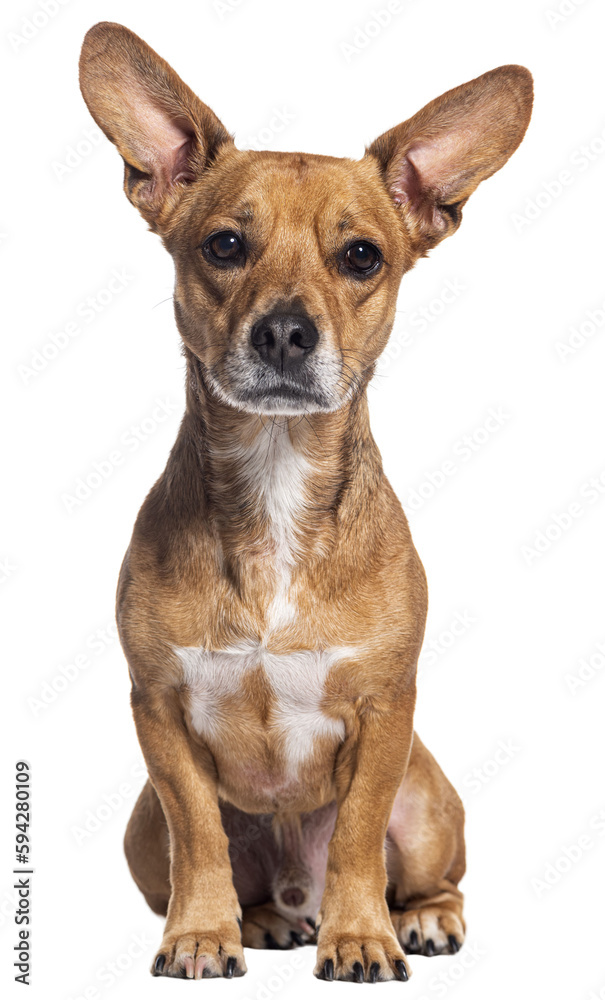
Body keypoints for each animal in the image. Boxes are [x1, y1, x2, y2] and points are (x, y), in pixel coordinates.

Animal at [78, 23, 532, 984]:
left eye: (361, 256)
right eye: (223, 246)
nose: (284, 330)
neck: (277, 480)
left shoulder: (385, 714)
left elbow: (358, 836)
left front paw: (359, 937)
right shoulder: (158, 714)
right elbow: (200, 835)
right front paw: (201, 932)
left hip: (428, 801)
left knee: (432, 877)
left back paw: (414, 920)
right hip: (139, 827)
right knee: (210, 858)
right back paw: (258, 919)